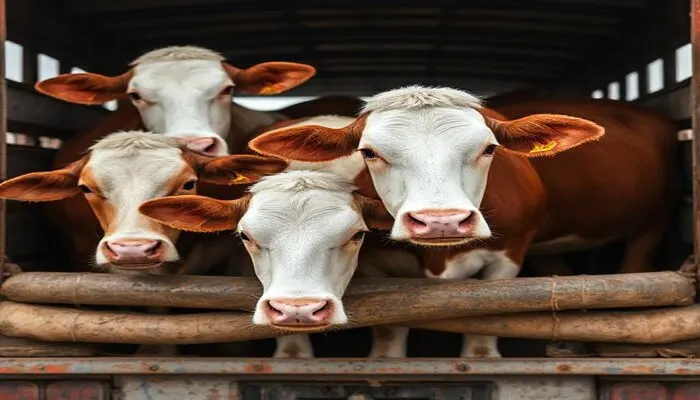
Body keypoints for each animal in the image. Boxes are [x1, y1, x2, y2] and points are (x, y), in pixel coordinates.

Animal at [246, 86, 609, 357]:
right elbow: (389, 336)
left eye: (489, 149)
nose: (441, 221)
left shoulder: (508, 257)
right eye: (369, 153)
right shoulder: (376, 271)